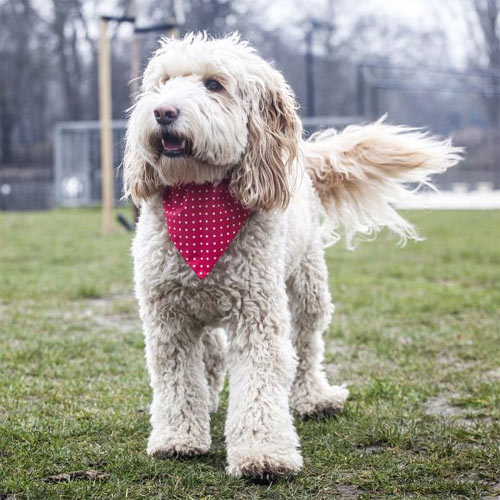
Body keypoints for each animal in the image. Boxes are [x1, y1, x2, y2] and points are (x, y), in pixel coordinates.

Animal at [124, 32, 460, 480]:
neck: (200, 201)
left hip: (308, 286)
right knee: (212, 351)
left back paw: (313, 397)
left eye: (214, 84)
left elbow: (260, 384)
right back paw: (209, 397)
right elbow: (177, 381)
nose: (163, 111)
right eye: (163, 83)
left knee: (306, 347)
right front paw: (178, 437)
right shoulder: (167, 318)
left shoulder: (257, 315)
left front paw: (263, 453)